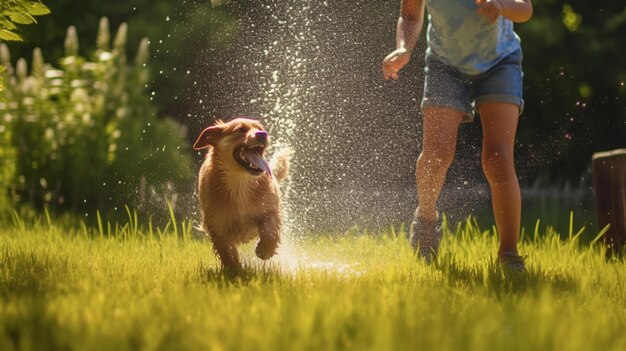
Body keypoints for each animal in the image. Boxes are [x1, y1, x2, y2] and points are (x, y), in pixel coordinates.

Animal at [193, 118, 290, 272]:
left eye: (261, 128)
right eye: (239, 130)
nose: (262, 134)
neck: (241, 182)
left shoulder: (270, 209)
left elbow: (270, 230)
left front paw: (265, 250)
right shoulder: (217, 225)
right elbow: (227, 251)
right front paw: (235, 270)